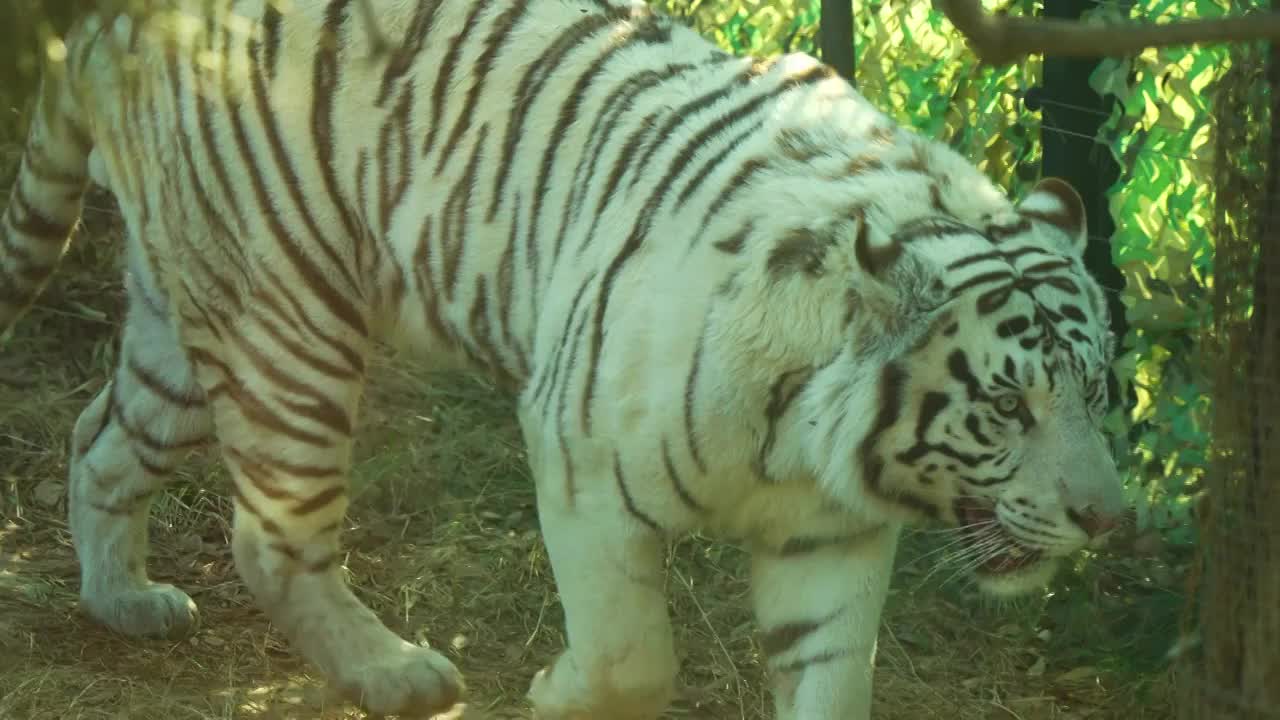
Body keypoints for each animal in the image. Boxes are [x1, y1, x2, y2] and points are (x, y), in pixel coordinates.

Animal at [0, 2, 1121, 712]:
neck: (803, 444)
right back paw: (397, 677)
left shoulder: (829, 536)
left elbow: (832, 678)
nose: (1106, 519)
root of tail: (117, 21)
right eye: (1008, 407)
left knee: (98, 439)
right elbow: (631, 657)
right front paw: (554, 691)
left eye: (1100, 393)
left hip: (189, 320)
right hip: (288, 319)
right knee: (271, 536)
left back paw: (124, 601)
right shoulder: (584, 464)